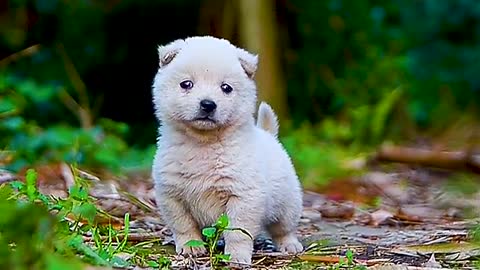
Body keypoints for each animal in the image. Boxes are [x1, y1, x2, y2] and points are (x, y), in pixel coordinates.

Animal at [152, 35, 302, 264]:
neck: (203, 144)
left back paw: (289, 245)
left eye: (226, 87)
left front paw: (237, 256)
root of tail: (269, 135)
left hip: (288, 203)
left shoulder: (243, 196)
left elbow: (237, 232)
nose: (208, 104)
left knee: (284, 228)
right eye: (186, 84)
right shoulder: (171, 195)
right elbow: (184, 225)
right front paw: (190, 248)